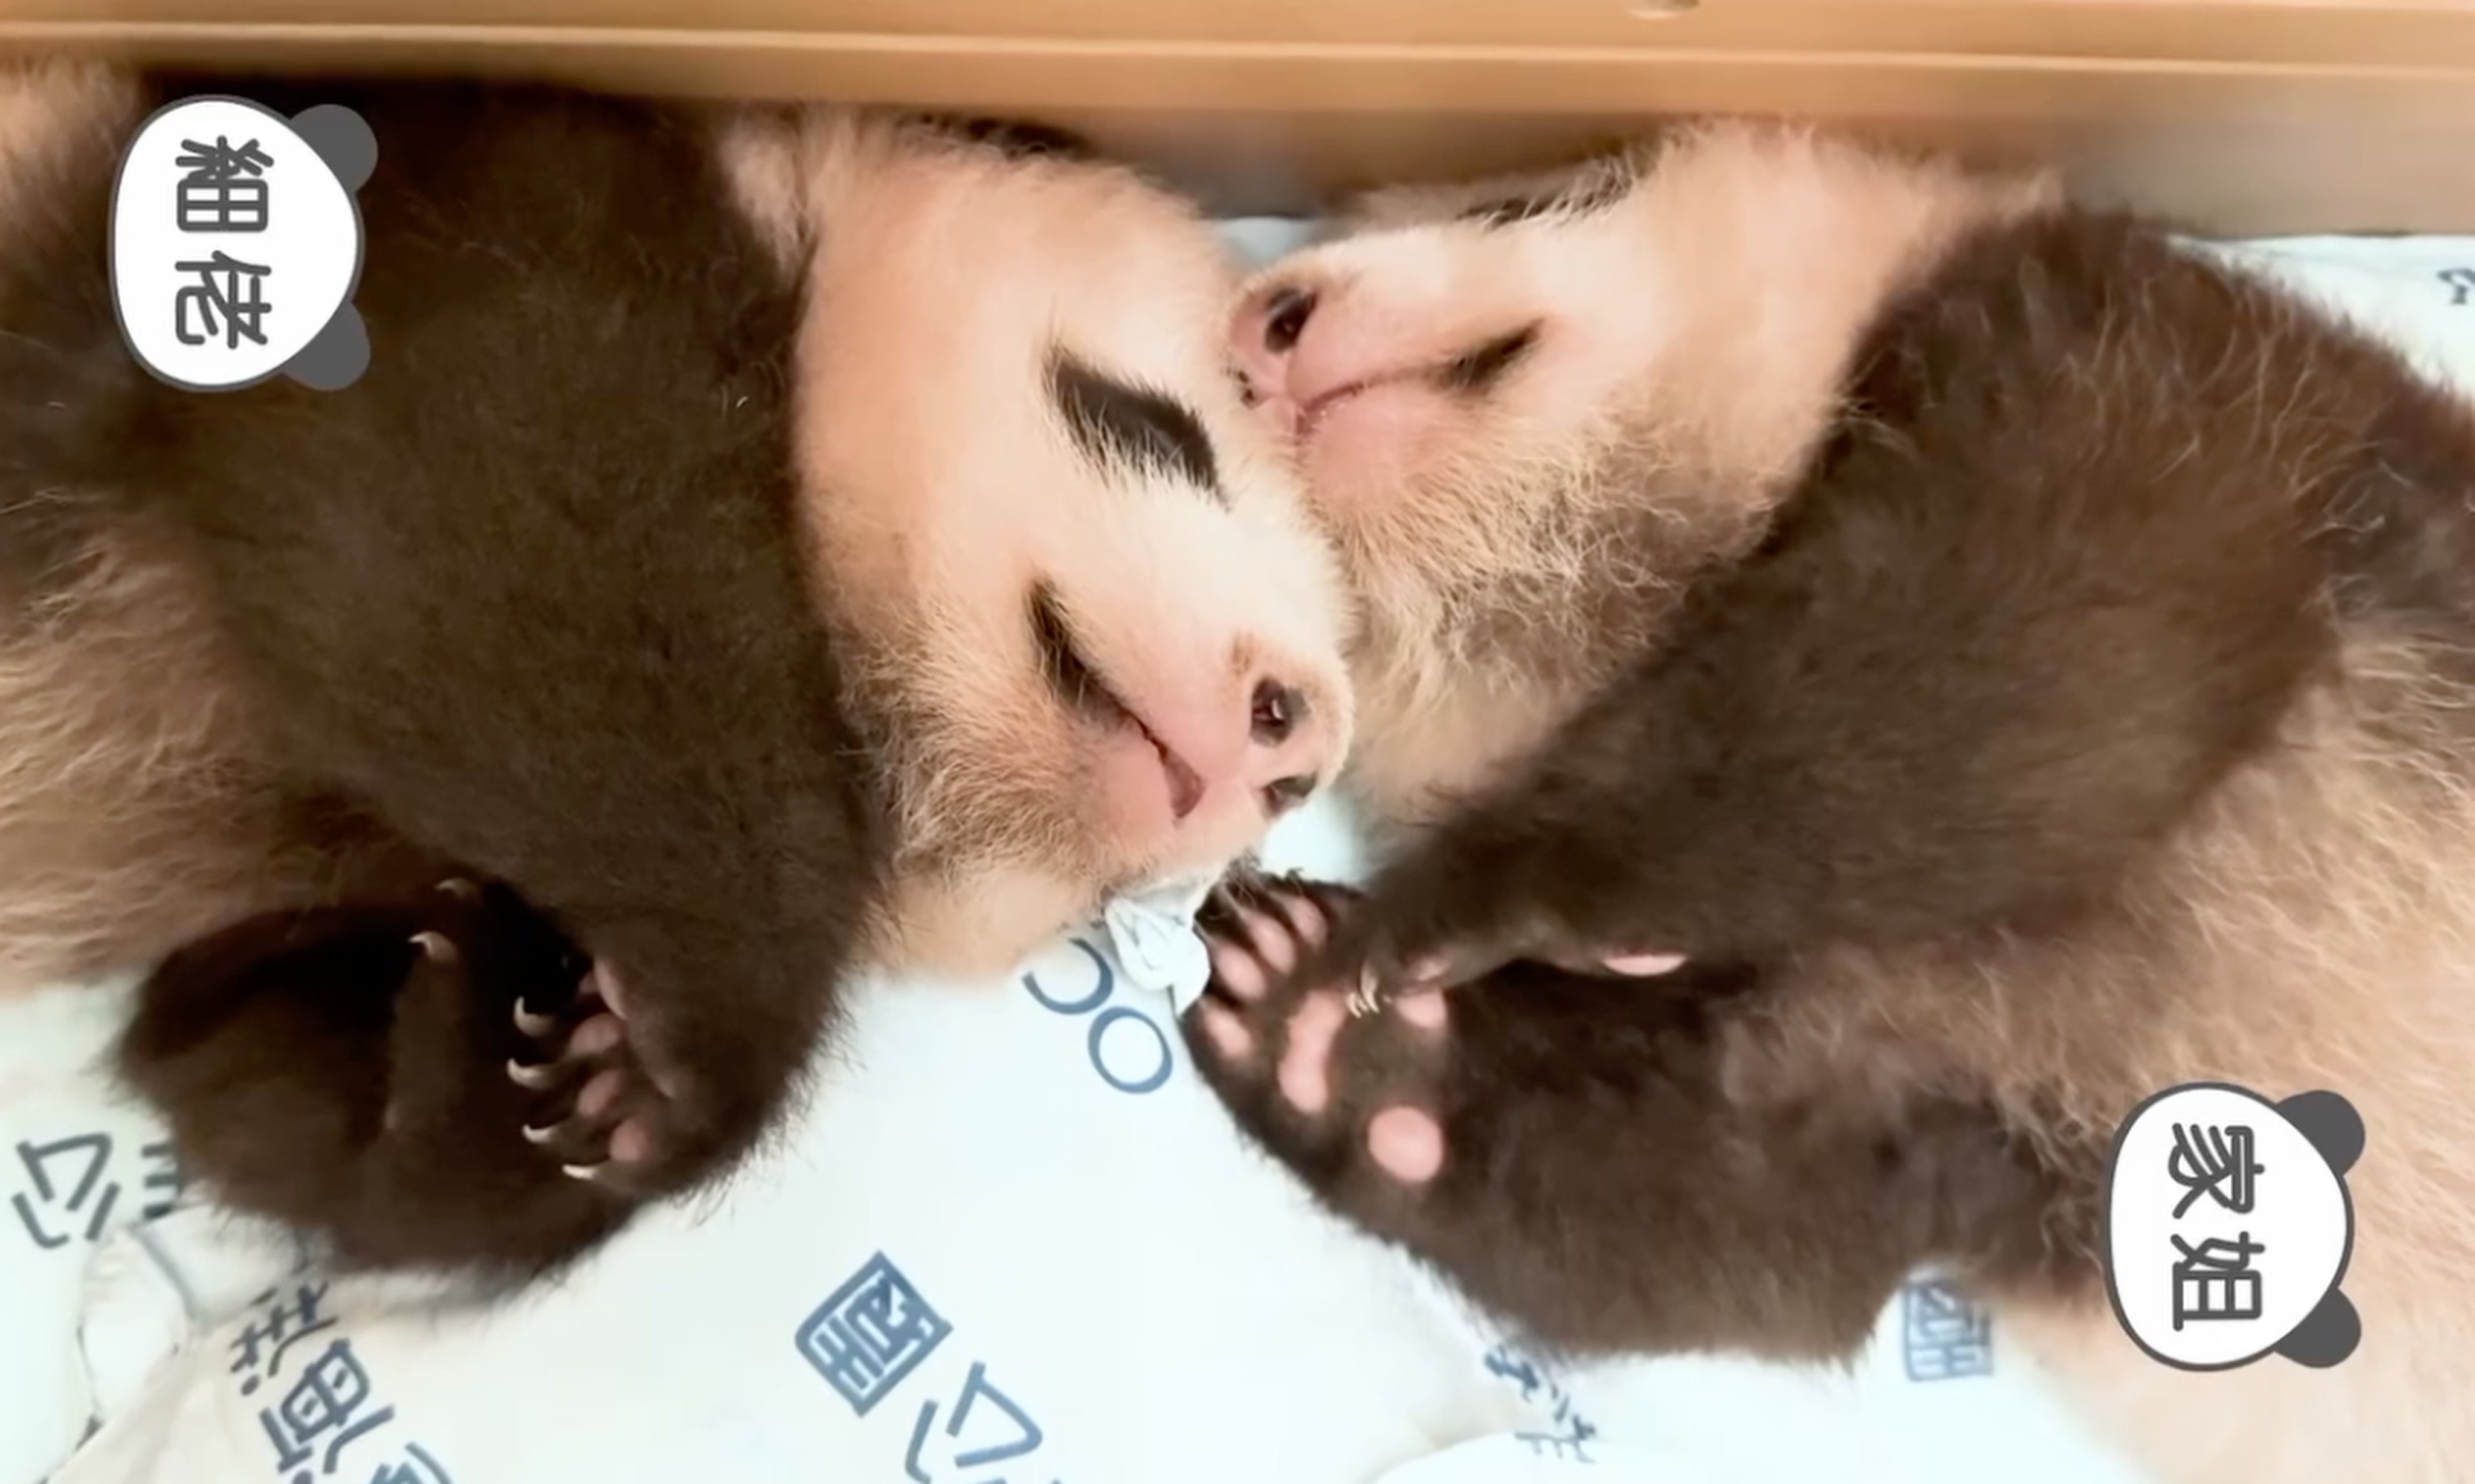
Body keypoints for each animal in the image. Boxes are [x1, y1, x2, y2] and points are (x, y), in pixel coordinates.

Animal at [0, 63, 1356, 1276]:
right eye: (1158, 429)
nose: (1292, 742)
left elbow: (244, 1072)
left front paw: (510, 1038)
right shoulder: (491, 204)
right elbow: (484, 502)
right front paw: (691, 1040)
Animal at [1173, 127, 2475, 1484]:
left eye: (1529, 199)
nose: (1265, 323)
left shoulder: (2165, 372)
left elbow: (2011, 636)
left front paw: (1479, 895)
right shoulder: (1948, 1100)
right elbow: (1757, 1218)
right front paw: (1319, 1021)